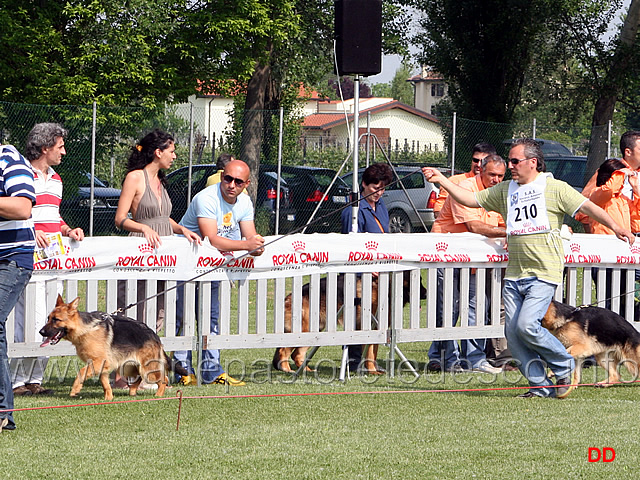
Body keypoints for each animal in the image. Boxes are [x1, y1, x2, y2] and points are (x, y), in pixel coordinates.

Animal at [40, 294, 188, 400]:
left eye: (56, 320)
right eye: (48, 318)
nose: (41, 332)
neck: (86, 328)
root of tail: (155, 336)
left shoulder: (98, 362)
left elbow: (81, 372)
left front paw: (75, 389)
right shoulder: (102, 366)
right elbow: (105, 384)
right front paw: (109, 398)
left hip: (147, 370)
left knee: (164, 379)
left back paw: (158, 395)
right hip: (128, 368)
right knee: (139, 378)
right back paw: (132, 391)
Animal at [270, 272, 424, 374]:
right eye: (418, 281)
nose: (426, 293)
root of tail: (289, 297)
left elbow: (373, 353)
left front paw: (373, 369)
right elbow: (370, 354)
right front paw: (372, 371)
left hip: (315, 330)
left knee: (297, 354)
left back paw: (307, 370)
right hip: (305, 330)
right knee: (284, 351)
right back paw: (288, 370)